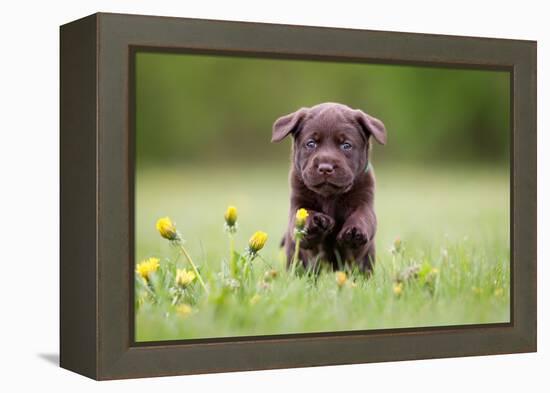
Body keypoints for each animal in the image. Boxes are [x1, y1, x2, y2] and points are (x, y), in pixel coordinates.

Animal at [272, 102, 388, 272]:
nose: (325, 168)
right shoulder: (297, 203)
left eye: (346, 145)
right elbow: (302, 215)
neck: (329, 196)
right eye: (311, 143)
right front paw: (316, 221)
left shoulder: (365, 200)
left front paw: (355, 231)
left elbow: (363, 215)